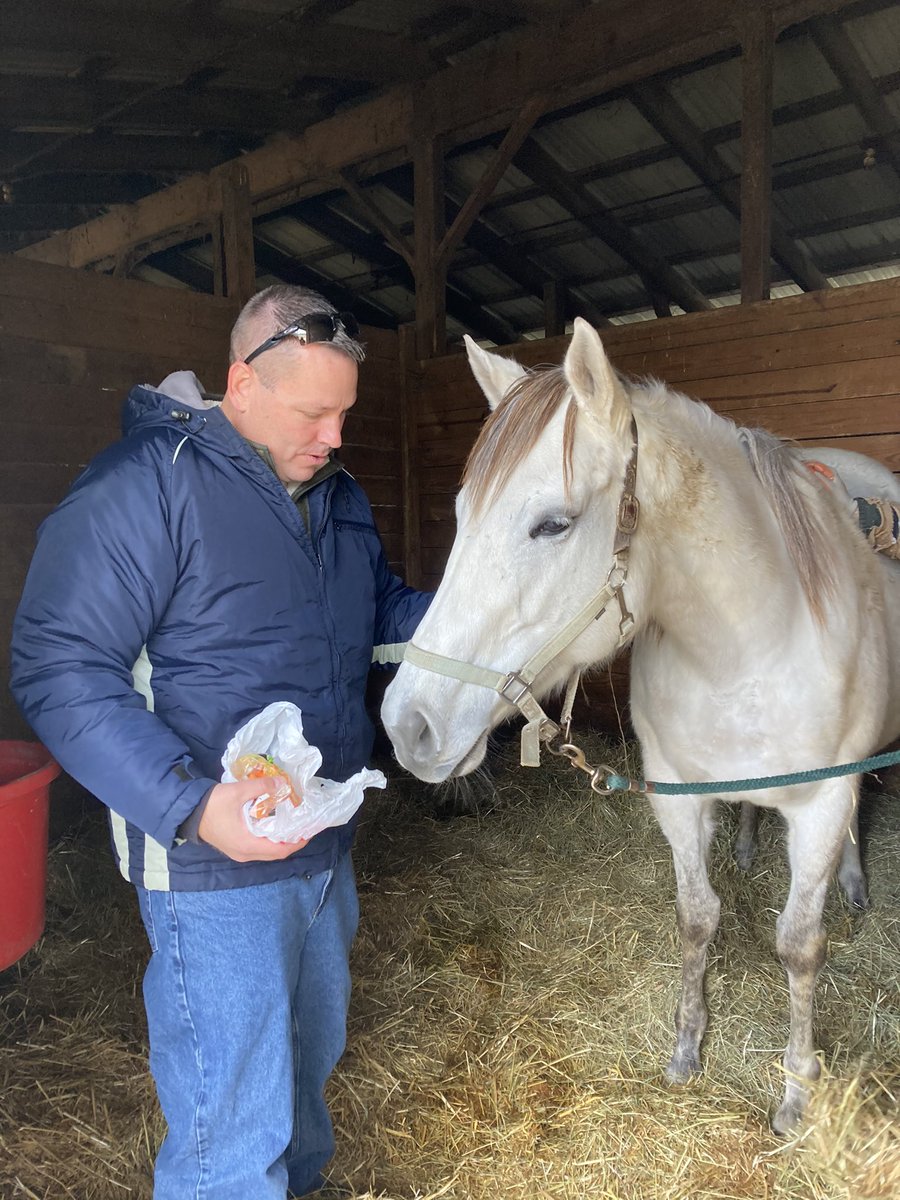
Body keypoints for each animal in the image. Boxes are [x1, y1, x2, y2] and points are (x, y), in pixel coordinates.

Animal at [381, 318, 900, 1133]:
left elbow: (798, 945)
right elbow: (696, 918)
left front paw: (796, 1091)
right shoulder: (677, 796)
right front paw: (687, 1050)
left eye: (552, 525)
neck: (749, 645)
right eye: (462, 516)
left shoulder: (819, 803)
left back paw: (851, 882)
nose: (409, 725)